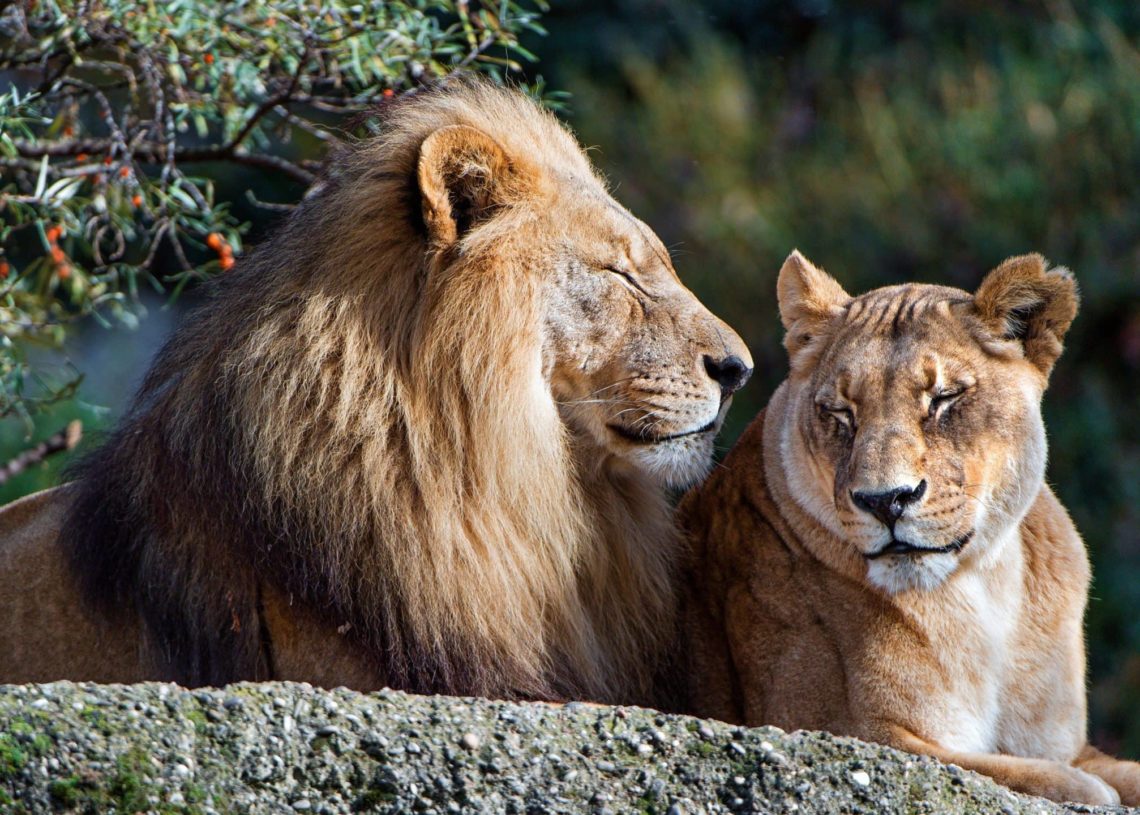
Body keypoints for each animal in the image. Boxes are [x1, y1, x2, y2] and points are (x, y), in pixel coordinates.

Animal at [676, 250, 1140, 805]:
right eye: (841, 412)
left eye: (943, 398)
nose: (885, 501)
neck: (982, 589)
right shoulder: (843, 728)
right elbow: (1012, 770)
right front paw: (1083, 788)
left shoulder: (1069, 743)